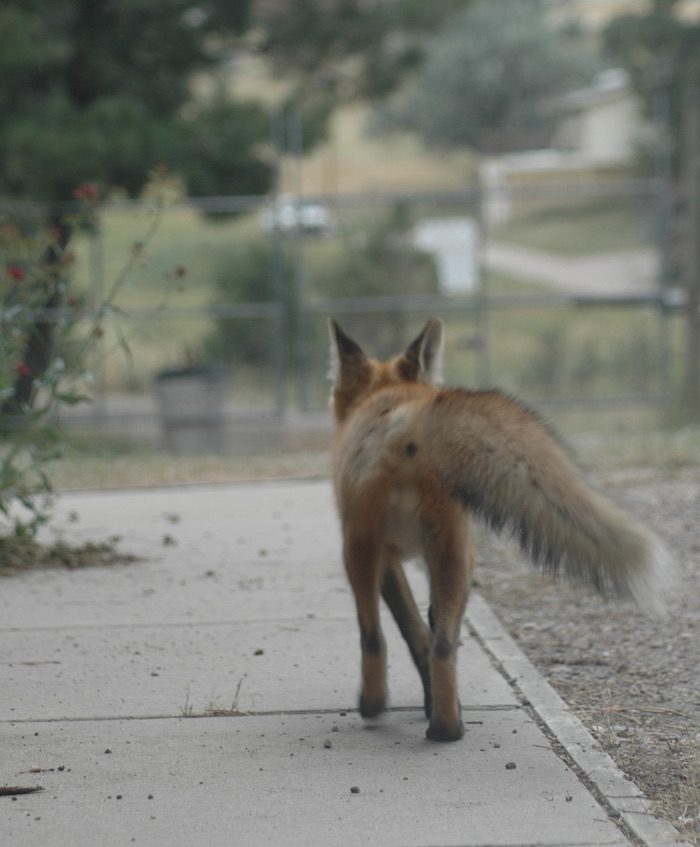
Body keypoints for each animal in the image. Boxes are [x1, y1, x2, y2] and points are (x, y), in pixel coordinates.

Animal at [328, 316, 672, 744]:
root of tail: (411, 416)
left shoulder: (391, 556)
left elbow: (413, 629)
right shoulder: (404, 554)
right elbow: (423, 629)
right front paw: (429, 697)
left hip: (369, 548)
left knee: (376, 637)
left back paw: (388, 710)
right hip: (438, 551)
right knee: (439, 645)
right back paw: (444, 725)